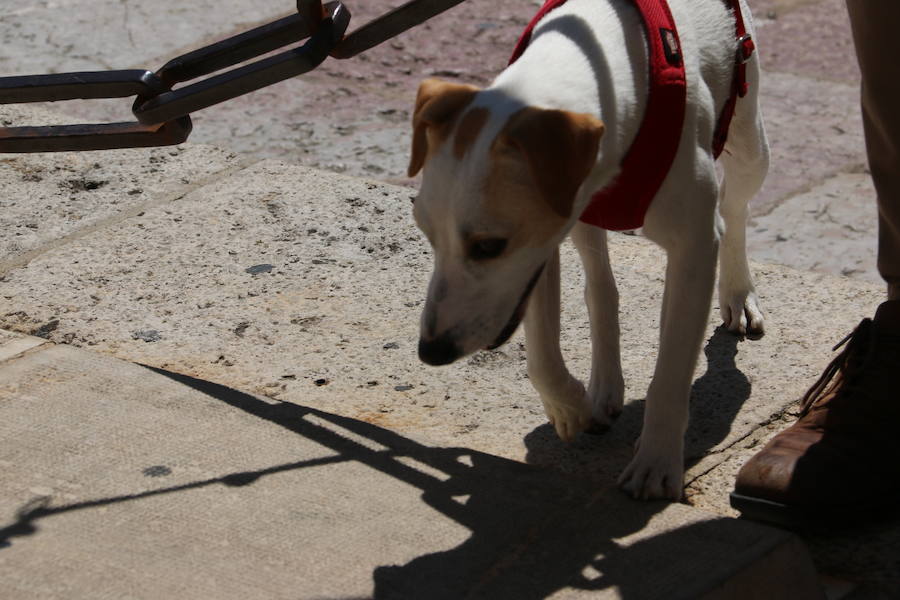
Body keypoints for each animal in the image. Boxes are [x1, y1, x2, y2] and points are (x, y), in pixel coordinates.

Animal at [408, 0, 768, 500]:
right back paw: (603, 388)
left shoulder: (694, 243)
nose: (431, 352)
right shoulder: (544, 240)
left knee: (734, 208)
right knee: (600, 287)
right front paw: (570, 406)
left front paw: (656, 461)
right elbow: (541, 352)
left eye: (488, 246)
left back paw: (737, 293)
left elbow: (672, 369)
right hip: (586, 223)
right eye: (425, 233)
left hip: (749, 139)